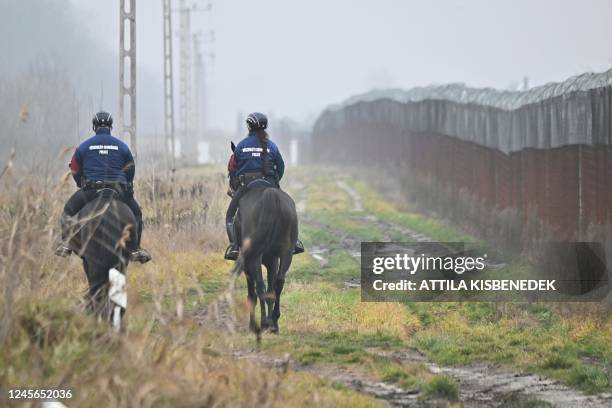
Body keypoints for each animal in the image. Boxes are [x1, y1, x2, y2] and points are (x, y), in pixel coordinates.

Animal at [237, 183, 298, 336]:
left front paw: (253, 325)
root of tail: (270, 196)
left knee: (259, 285)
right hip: (286, 252)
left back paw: (264, 323)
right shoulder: (273, 261)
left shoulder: (248, 263)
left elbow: (252, 295)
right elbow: (271, 290)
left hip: (254, 257)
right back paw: (274, 322)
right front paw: (272, 323)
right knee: (279, 282)